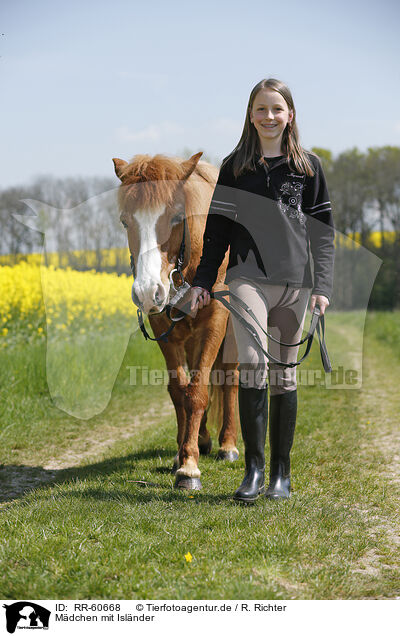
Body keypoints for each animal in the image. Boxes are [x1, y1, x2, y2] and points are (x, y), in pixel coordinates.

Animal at [111, 152, 239, 490]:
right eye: (125, 221)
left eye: (176, 217)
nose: (147, 291)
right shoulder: (164, 330)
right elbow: (180, 391)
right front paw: (182, 454)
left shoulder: (215, 323)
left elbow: (198, 391)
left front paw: (189, 468)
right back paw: (202, 439)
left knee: (230, 379)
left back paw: (228, 445)